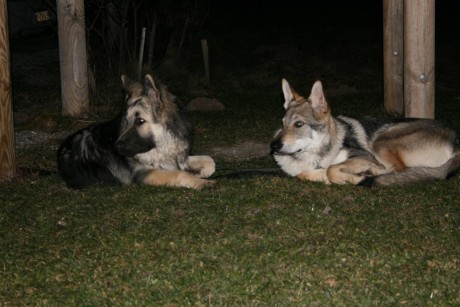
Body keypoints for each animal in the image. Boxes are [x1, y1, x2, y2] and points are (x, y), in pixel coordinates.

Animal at [57, 74, 216, 190]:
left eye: (139, 121)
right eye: (126, 121)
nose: (116, 147)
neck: (161, 143)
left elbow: (210, 161)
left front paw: (197, 172)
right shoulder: (143, 173)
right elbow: (178, 173)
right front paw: (199, 181)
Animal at [270, 78, 460, 186]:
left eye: (299, 124)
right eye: (283, 123)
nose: (274, 146)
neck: (316, 157)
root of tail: (455, 140)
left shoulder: (364, 156)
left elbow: (331, 169)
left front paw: (349, 177)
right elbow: (305, 174)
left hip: (382, 141)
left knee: (397, 170)